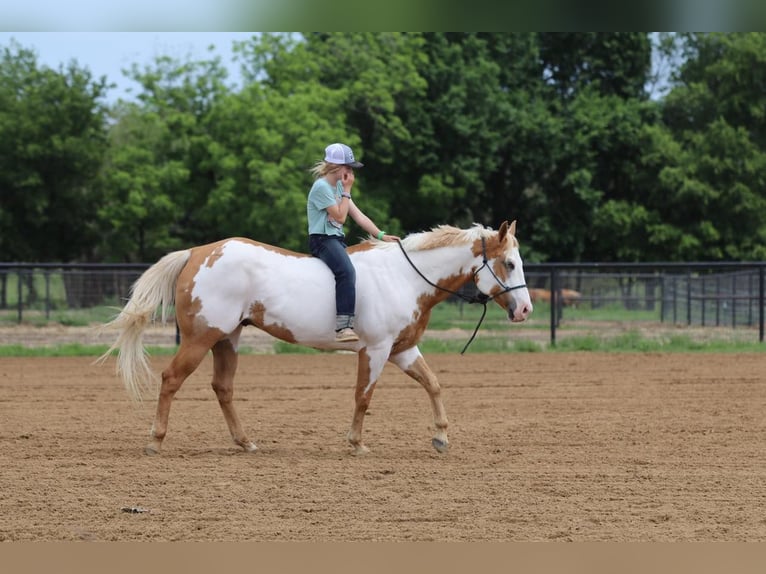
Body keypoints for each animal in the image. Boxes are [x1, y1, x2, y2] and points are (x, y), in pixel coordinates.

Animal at [99, 220, 536, 460]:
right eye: (508, 263)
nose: (526, 310)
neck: (405, 277)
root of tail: (196, 253)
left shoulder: (403, 350)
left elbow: (434, 384)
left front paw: (441, 436)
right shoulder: (376, 349)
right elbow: (363, 397)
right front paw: (356, 443)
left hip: (228, 339)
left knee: (223, 387)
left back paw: (246, 442)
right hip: (200, 338)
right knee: (171, 379)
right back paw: (155, 441)